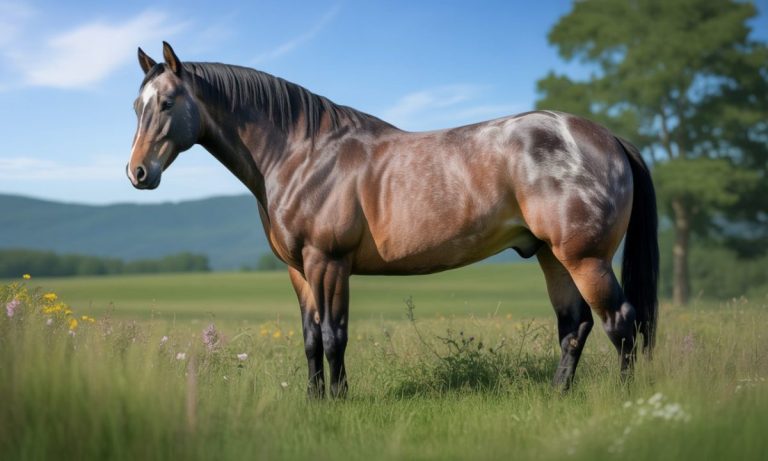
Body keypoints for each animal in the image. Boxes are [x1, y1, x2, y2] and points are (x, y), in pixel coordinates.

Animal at [127, 42, 658, 397]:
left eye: (168, 103)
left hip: (586, 258)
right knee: (575, 325)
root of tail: (609, 138)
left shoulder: (328, 263)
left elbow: (333, 336)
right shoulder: (299, 270)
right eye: (136, 106)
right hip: (551, 256)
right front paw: (314, 400)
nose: (138, 173)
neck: (302, 154)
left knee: (620, 323)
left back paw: (625, 399)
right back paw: (556, 395)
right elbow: (309, 339)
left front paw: (338, 401)